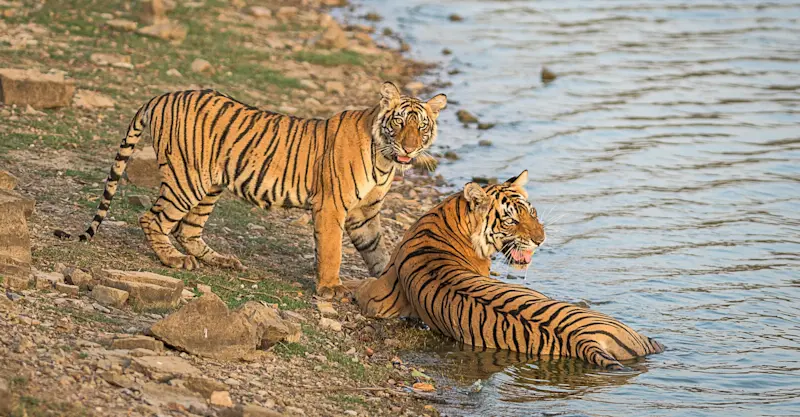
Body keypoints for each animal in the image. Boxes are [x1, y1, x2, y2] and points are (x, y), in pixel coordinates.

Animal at [55, 82, 447, 298]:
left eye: (421, 126)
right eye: (399, 122)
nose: (409, 148)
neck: (385, 160)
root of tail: (163, 95)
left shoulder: (364, 215)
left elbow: (377, 253)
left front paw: (391, 282)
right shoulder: (332, 206)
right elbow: (332, 251)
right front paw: (330, 288)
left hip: (209, 185)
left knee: (188, 230)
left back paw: (220, 260)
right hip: (186, 180)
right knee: (153, 219)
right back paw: (174, 260)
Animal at [345, 170, 665, 369]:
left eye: (532, 211)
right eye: (511, 220)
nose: (541, 239)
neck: (449, 215)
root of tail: (584, 342)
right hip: (643, 339)